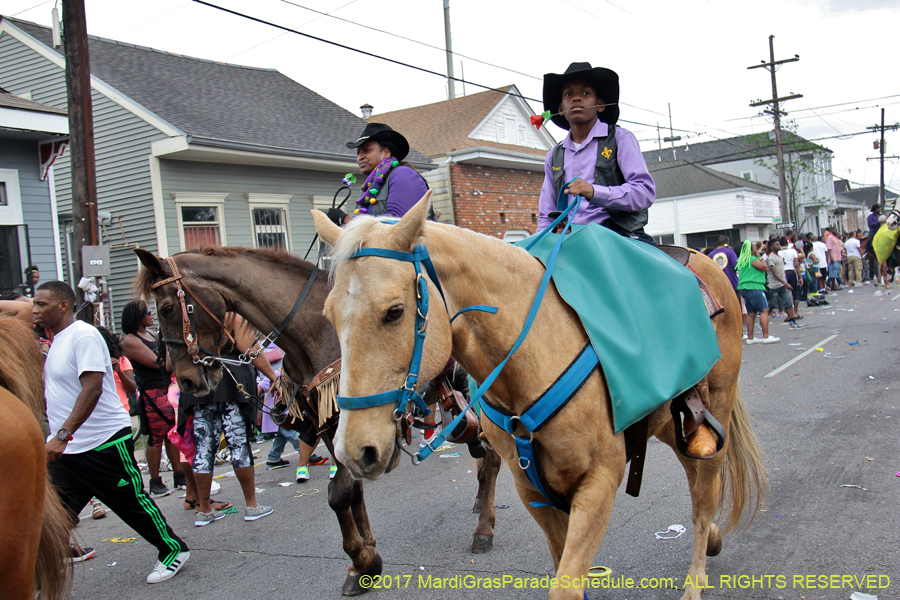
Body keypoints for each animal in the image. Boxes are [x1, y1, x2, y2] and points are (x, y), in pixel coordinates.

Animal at [134, 246, 502, 592]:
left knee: (493, 457)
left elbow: (339, 493)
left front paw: (362, 560)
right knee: (483, 454)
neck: (313, 334)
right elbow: (352, 492)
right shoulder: (328, 426)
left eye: (166, 309)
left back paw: (483, 528)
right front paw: (366, 559)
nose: (186, 381)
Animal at [310, 197, 768, 600]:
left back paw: (695, 580)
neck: (531, 358)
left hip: (716, 406)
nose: (353, 450)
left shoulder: (599, 483)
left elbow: (566, 584)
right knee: (695, 480)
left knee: (705, 493)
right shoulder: (535, 492)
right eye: (328, 315)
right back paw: (713, 539)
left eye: (395, 311)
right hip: (672, 422)